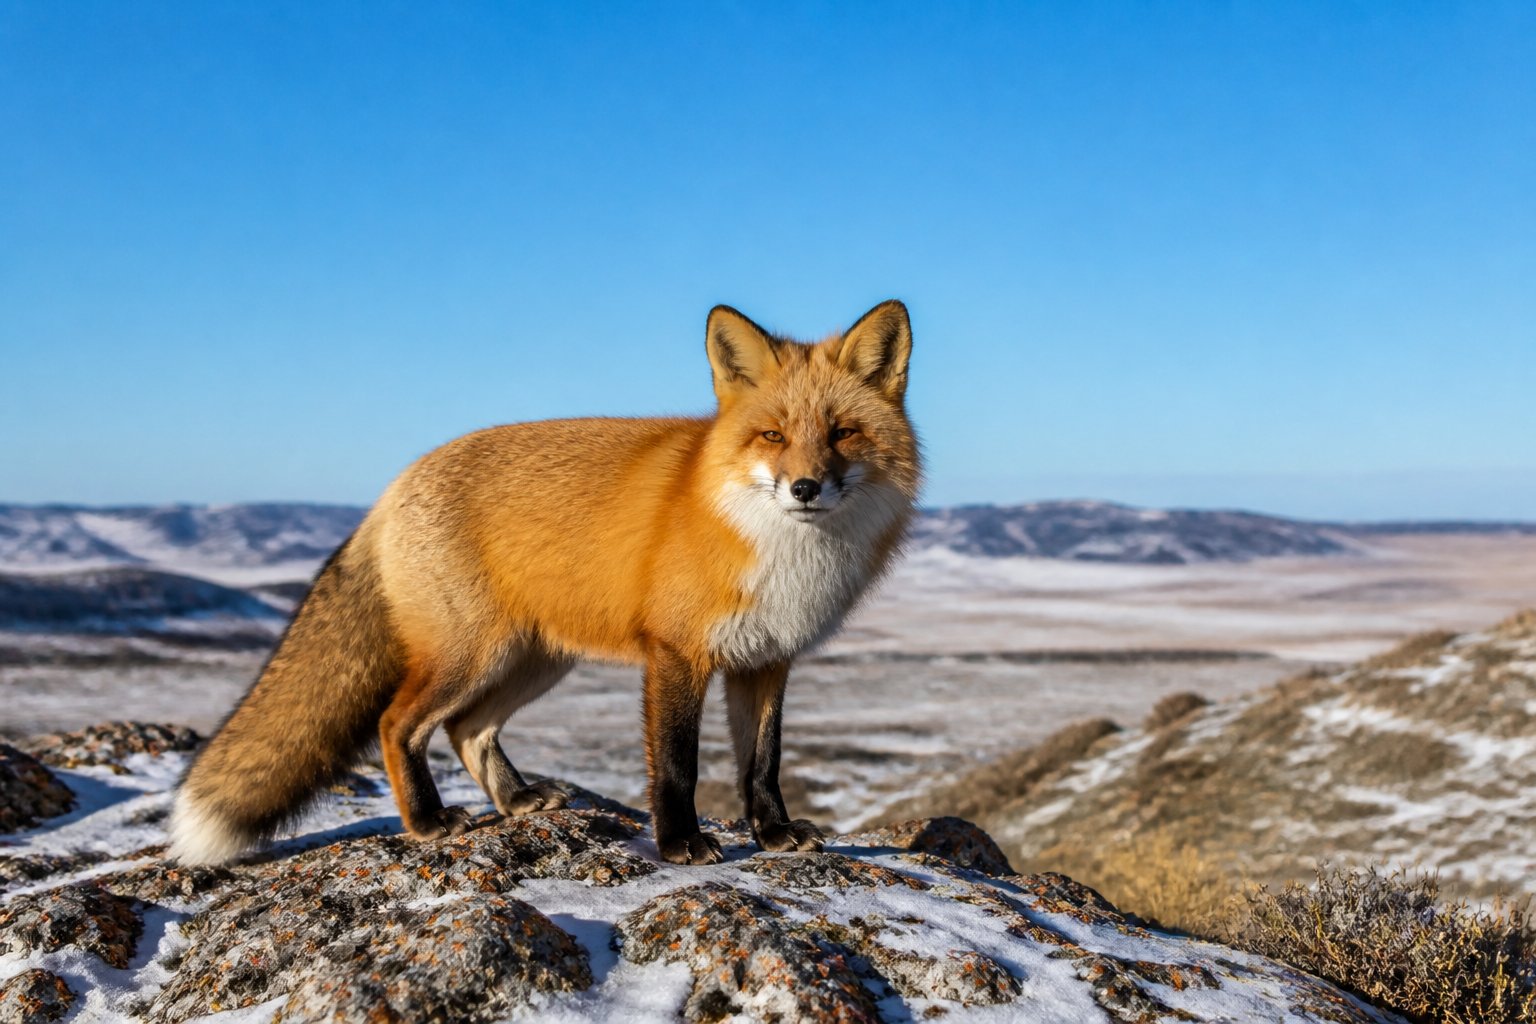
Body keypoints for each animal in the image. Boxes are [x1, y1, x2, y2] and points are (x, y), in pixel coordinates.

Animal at [170, 300, 920, 866]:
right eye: (772, 435)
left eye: (842, 433)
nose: (805, 487)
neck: (781, 550)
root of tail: (394, 486)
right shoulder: (677, 653)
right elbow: (677, 764)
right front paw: (679, 844)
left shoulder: (766, 660)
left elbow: (762, 763)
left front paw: (774, 834)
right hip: (473, 656)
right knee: (398, 724)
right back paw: (428, 822)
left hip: (532, 661)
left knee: (467, 731)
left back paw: (517, 801)